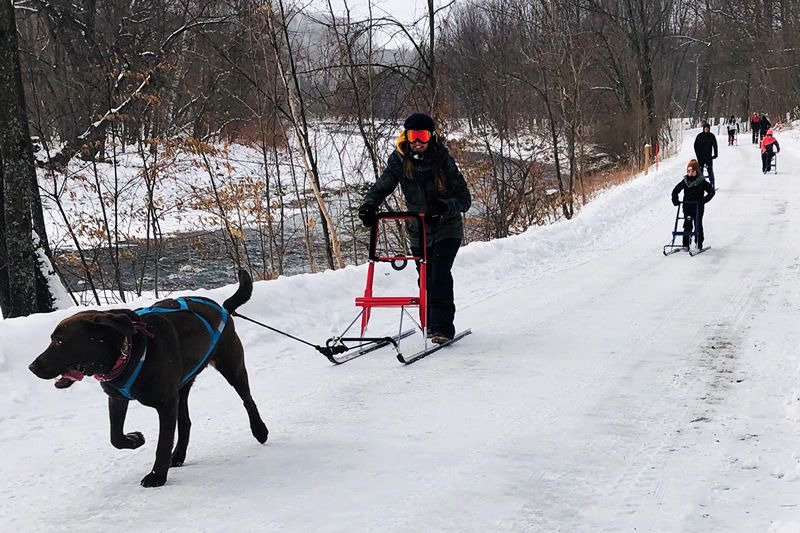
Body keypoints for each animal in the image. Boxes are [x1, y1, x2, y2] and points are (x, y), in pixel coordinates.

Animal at [28, 270, 268, 486]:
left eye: (59, 341)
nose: (32, 367)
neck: (127, 352)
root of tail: (223, 308)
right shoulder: (117, 397)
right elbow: (115, 437)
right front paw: (135, 439)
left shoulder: (166, 403)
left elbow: (163, 442)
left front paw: (156, 476)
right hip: (182, 387)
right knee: (185, 423)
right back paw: (178, 455)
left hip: (231, 366)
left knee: (248, 400)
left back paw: (260, 430)